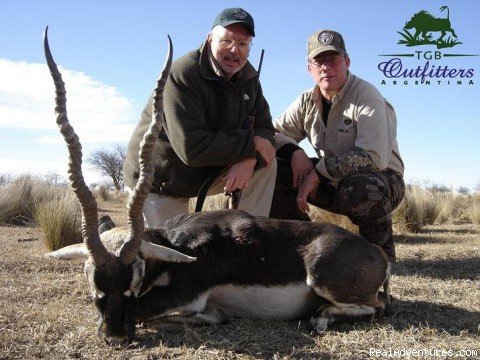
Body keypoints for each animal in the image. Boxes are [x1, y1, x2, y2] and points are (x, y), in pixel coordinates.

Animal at [44, 28, 390, 346]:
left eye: (134, 279)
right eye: (93, 283)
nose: (115, 337)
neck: (173, 244)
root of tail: (376, 254)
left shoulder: (182, 294)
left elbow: (150, 311)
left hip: (322, 276)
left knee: (378, 306)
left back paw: (319, 317)